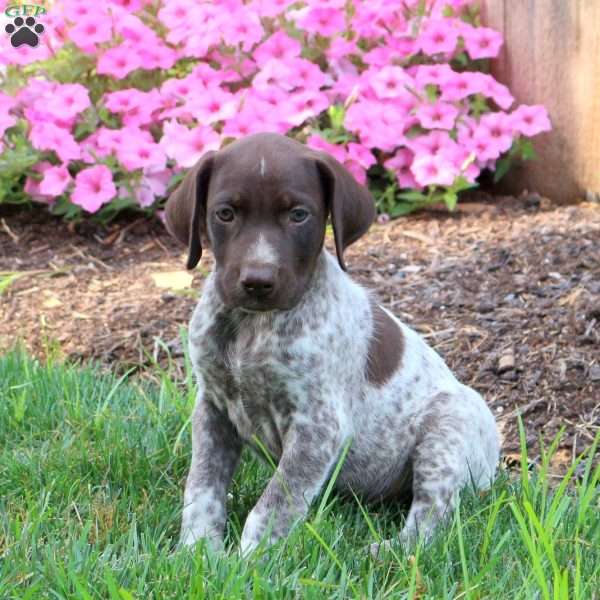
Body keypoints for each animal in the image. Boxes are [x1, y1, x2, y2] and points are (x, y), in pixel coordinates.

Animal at [165, 134, 502, 556]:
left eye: (298, 215)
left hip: (447, 431)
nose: (257, 281)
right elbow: (202, 487)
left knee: (430, 519)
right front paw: (197, 552)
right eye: (225, 213)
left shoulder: (318, 426)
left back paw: (381, 552)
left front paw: (249, 560)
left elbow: (274, 505)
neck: (253, 328)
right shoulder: (213, 409)